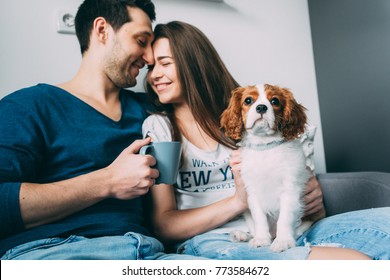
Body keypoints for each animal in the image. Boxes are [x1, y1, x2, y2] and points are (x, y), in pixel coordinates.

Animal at [222, 84, 314, 253]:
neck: (265, 147)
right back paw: (241, 235)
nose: (261, 107)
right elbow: (259, 219)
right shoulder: (252, 193)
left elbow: (285, 218)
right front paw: (261, 239)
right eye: (248, 100)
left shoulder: (290, 190)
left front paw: (283, 241)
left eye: (275, 101)